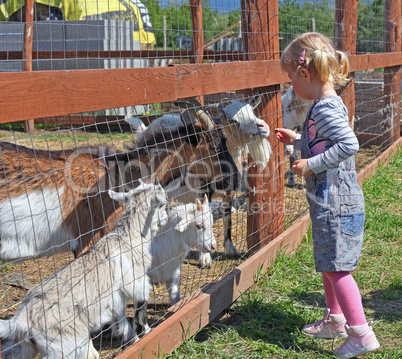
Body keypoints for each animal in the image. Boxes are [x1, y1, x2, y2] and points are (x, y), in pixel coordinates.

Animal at [0, 181, 168, 359]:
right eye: (163, 204)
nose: (166, 217)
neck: (128, 239)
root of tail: (21, 319)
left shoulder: (116, 301)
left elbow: (122, 323)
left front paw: (131, 340)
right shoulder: (138, 283)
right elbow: (140, 313)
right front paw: (148, 333)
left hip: (25, 345)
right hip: (63, 346)